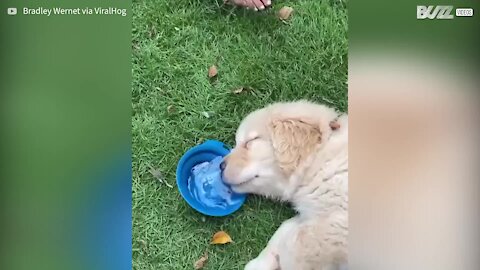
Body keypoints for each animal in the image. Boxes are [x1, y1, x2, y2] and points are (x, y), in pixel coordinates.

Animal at [223, 100, 346, 268]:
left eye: (251, 141)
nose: (220, 166)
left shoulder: (338, 223)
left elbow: (299, 247)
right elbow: (286, 227)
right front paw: (260, 263)